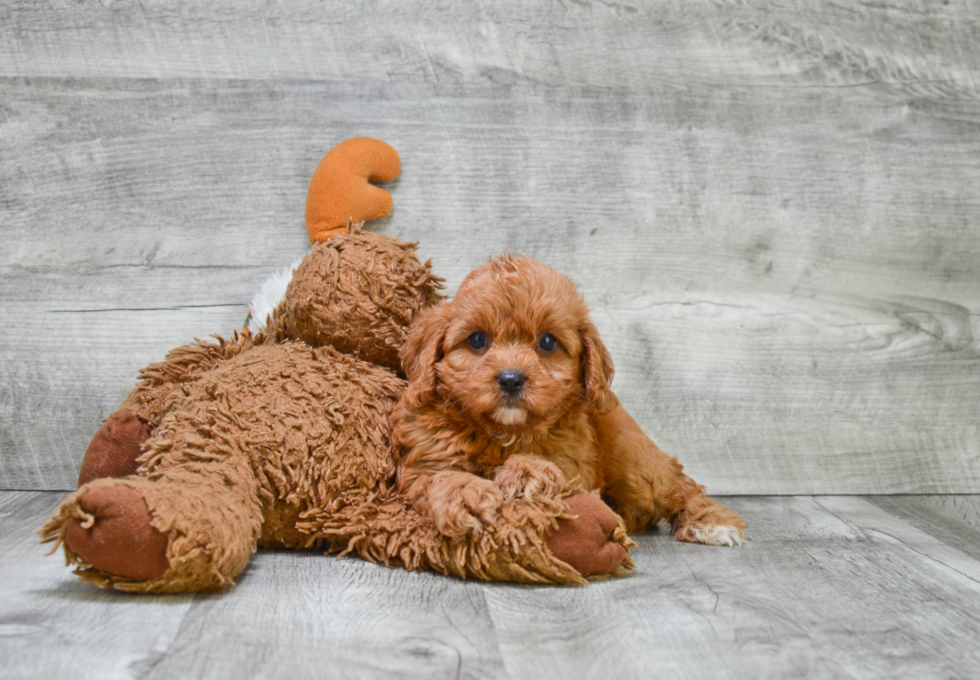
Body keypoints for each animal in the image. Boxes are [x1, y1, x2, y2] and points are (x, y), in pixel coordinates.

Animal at [390, 252, 744, 548]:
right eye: (477, 340)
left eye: (547, 342)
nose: (511, 379)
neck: (503, 433)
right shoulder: (426, 456)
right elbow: (439, 476)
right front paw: (467, 495)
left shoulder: (574, 463)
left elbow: (551, 466)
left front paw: (527, 473)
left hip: (638, 464)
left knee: (681, 487)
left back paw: (711, 522)